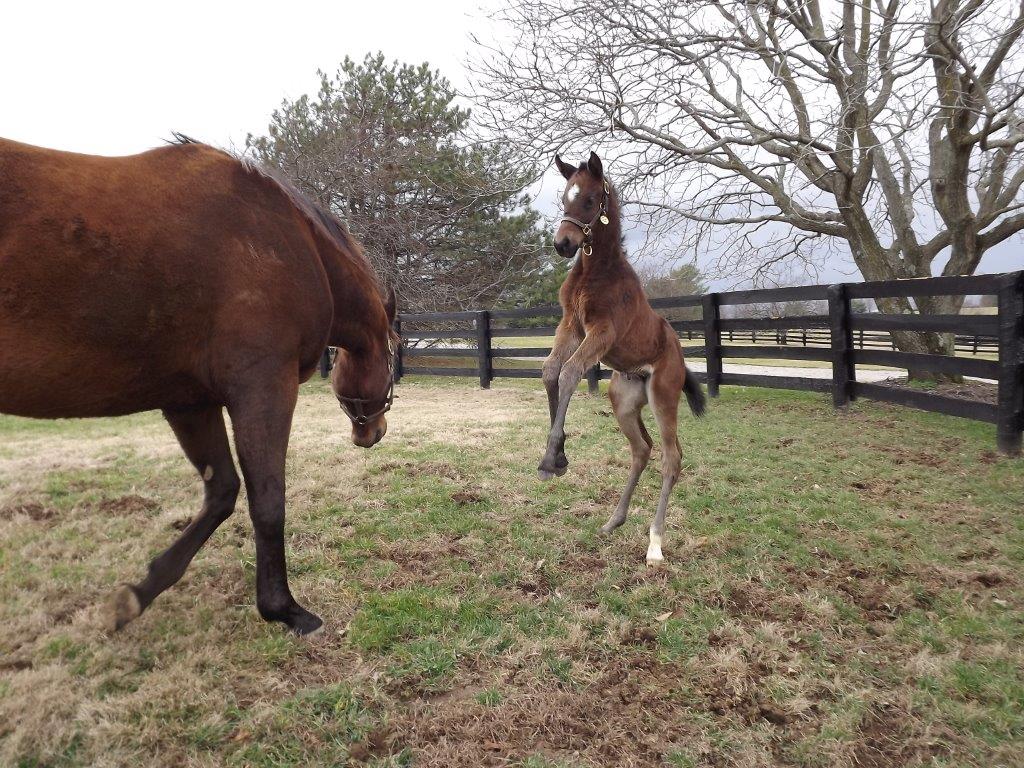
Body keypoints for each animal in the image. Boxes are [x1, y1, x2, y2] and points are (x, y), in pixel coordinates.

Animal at [0, 137, 395, 638]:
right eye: (392, 354)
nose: (374, 431)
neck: (291, 243)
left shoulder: (190, 402)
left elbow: (221, 492)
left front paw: (138, 593)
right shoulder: (263, 387)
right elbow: (268, 499)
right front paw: (284, 608)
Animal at [536, 153, 704, 569]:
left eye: (590, 199)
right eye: (564, 197)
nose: (563, 244)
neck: (595, 271)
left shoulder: (602, 332)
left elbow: (570, 374)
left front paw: (549, 460)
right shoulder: (571, 326)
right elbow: (550, 372)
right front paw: (559, 459)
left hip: (663, 397)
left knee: (672, 458)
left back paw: (655, 544)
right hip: (624, 402)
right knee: (641, 450)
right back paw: (614, 520)